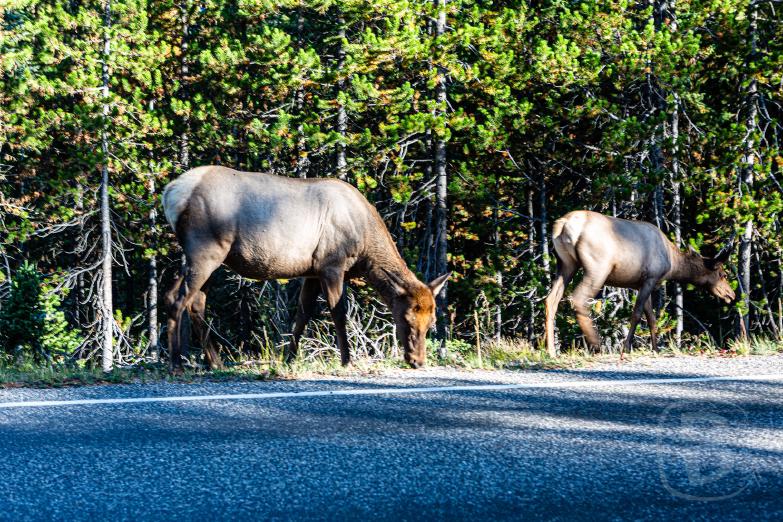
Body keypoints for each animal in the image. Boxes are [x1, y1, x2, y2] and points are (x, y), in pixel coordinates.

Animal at [162, 166, 450, 372]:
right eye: (406, 319)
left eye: (431, 322)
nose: (418, 361)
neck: (365, 248)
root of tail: (170, 194)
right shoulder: (331, 264)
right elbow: (338, 313)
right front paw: (347, 360)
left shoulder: (312, 271)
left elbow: (303, 313)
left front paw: (289, 358)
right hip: (206, 248)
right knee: (178, 298)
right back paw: (176, 364)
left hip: (207, 255)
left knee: (192, 298)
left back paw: (215, 362)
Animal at [544, 210, 735, 358]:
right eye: (722, 274)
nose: (731, 294)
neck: (672, 264)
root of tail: (562, 225)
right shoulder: (650, 278)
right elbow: (636, 314)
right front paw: (626, 347)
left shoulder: (641, 284)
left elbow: (651, 318)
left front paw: (656, 349)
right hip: (597, 267)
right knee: (578, 298)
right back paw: (597, 345)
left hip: (566, 264)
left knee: (551, 299)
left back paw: (551, 351)